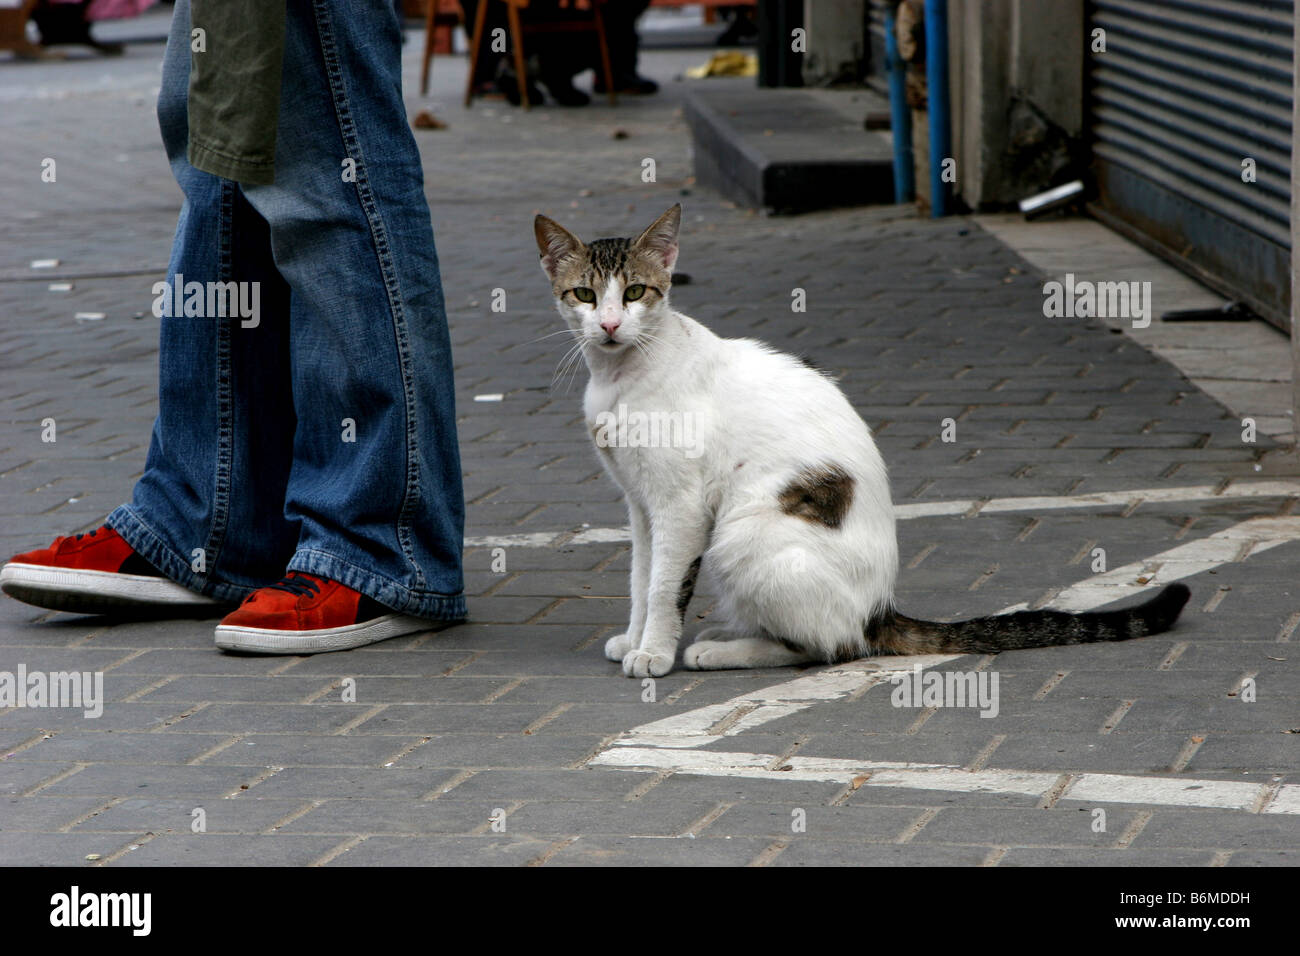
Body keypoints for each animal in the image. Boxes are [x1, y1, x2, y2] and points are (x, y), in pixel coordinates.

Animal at [530, 204, 1190, 676]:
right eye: (585, 295)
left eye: (635, 293)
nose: (609, 325)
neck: (621, 377)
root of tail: (879, 610)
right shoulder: (640, 505)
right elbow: (641, 579)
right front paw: (634, 637)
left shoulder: (679, 506)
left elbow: (667, 586)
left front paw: (655, 653)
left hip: (739, 536)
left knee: (833, 647)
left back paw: (723, 650)